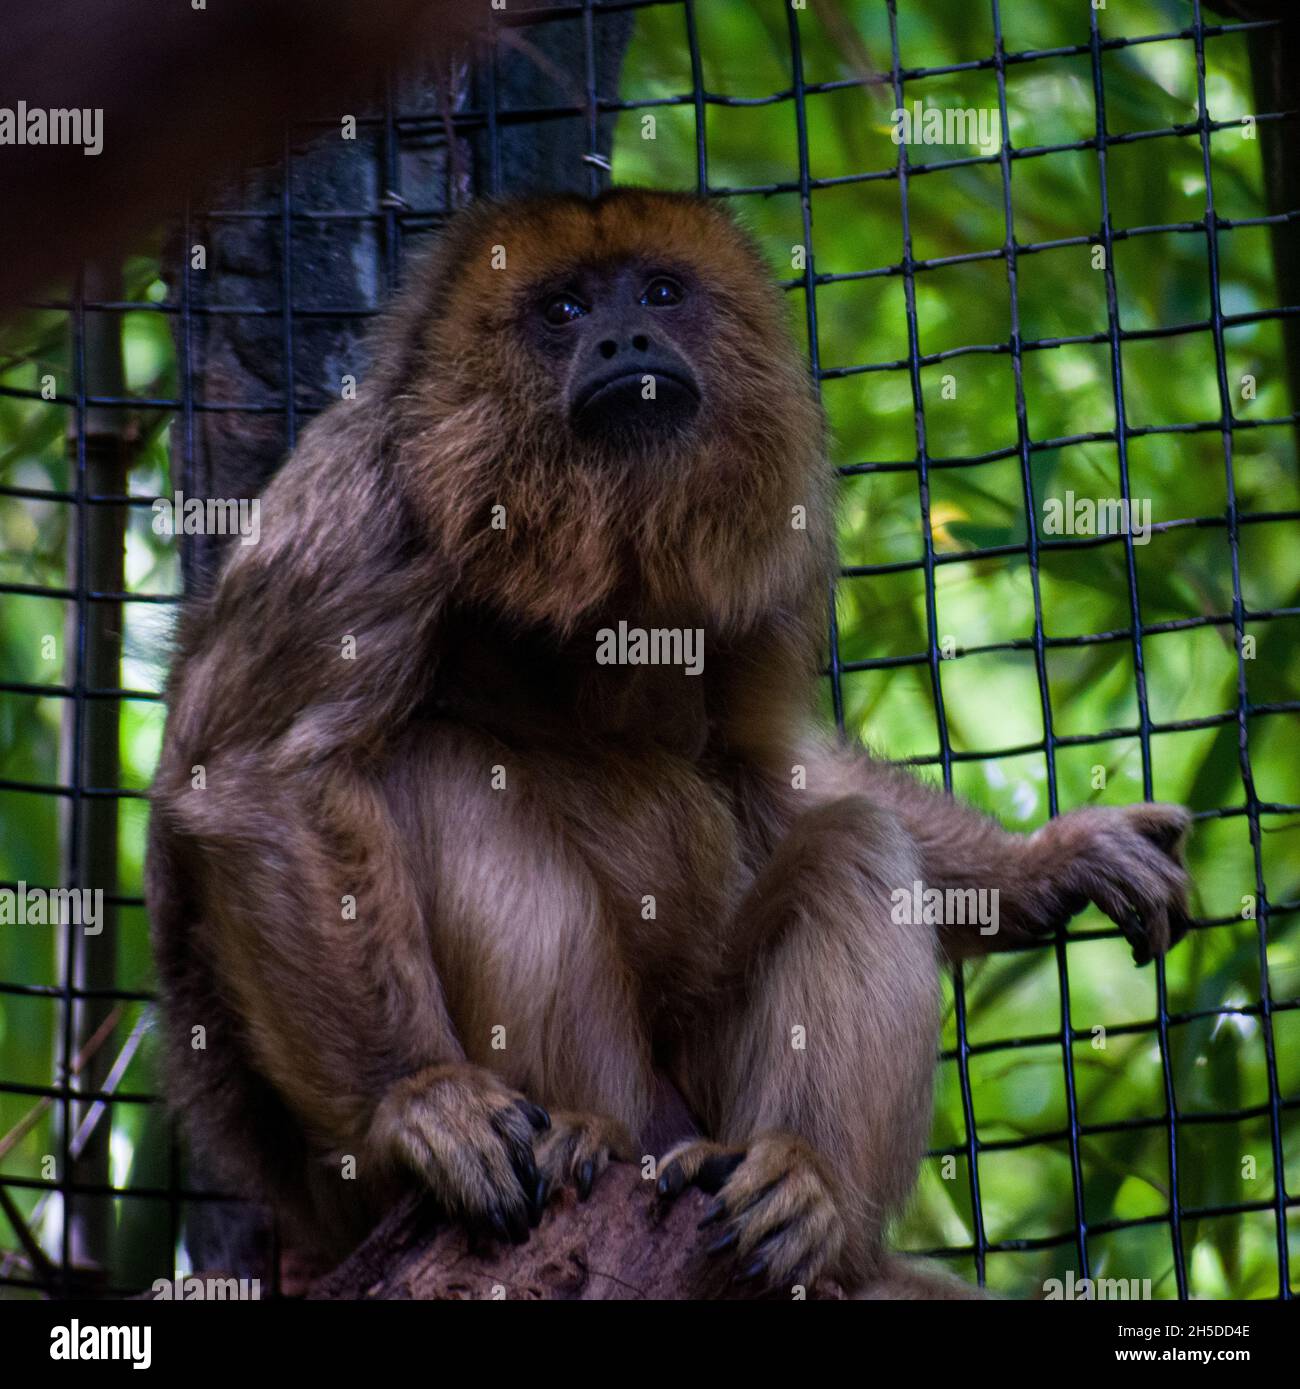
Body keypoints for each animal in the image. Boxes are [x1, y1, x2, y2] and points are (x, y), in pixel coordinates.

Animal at [147, 190, 1194, 1294]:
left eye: (657, 291)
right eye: (563, 308)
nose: (624, 339)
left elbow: (775, 769)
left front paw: (1048, 862)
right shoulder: (366, 499)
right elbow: (259, 777)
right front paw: (416, 1099)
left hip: (711, 1106)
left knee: (856, 845)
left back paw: (808, 1194)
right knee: (437, 775)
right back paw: (585, 1133)